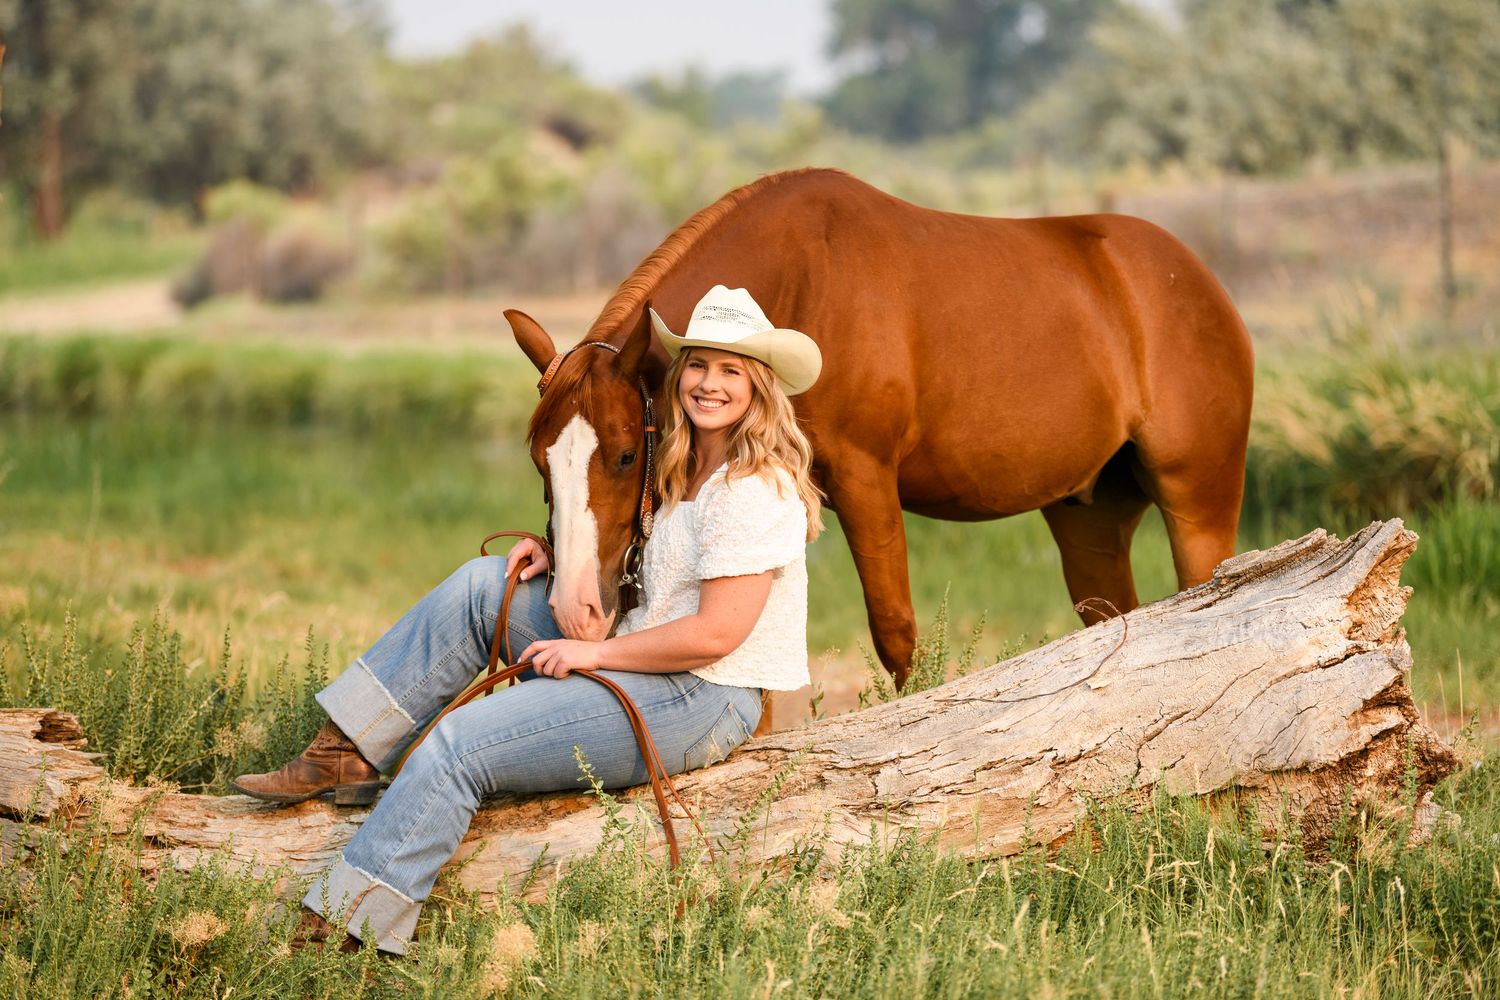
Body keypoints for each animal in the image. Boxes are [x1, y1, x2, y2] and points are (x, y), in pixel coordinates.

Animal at [508, 167, 1253, 692]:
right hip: (1089, 519)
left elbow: (896, 635)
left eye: (624, 454)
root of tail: (1199, 282)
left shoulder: (866, 482)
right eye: (541, 463)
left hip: (1198, 506)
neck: (802, 287)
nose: (577, 610)